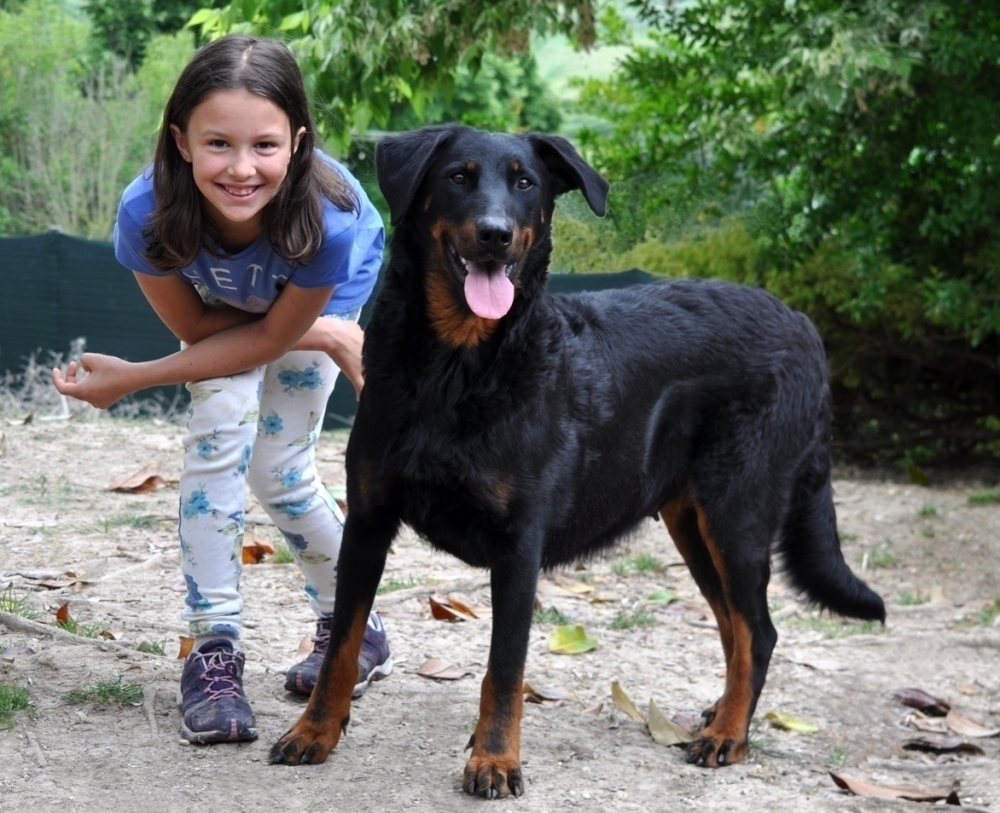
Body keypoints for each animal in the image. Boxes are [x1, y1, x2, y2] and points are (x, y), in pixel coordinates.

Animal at [270, 127, 888, 800]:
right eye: (458, 176)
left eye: (525, 182)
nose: (495, 234)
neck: (460, 366)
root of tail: (803, 325)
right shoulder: (369, 523)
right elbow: (342, 644)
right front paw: (315, 732)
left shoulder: (519, 548)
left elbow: (504, 669)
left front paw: (495, 759)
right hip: (695, 524)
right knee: (736, 627)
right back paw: (723, 716)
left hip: (738, 514)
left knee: (760, 630)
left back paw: (728, 734)